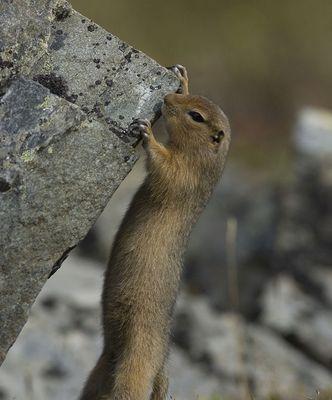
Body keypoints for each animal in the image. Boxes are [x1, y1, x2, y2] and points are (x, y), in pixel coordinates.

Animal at [80, 65, 231, 400]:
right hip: (99, 372)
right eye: (189, 99)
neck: (206, 160)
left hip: (136, 361)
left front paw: (146, 132)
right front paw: (182, 76)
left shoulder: (184, 173)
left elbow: (164, 166)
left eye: (196, 116)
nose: (166, 98)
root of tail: (162, 365)